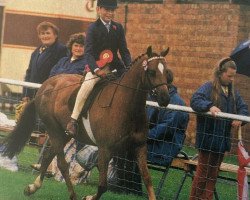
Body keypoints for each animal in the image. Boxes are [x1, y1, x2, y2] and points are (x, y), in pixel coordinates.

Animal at [3, 46, 170, 199]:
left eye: (167, 73)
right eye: (152, 72)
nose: (165, 99)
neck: (126, 107)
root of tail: (45, 86)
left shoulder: (139, 147)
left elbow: (147, 179)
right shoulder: (105, 149)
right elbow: (103, 186)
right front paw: (89, 197)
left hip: (64, 134)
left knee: (49, 156)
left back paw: (32, 187)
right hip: (54, 130)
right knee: (62, 164)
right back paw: (72, 195)